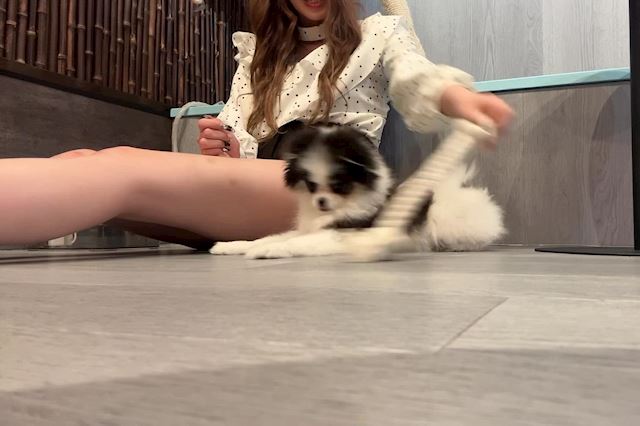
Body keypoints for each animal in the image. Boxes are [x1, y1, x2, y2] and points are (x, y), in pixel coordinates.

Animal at [210, 122, 505, 259]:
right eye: (311, 185)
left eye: (339, 185)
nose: (321, 202)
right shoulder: (309, 227)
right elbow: (268, 237)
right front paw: (232, 246)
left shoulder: (344, 233)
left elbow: (294, 243)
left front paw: (270, 252)